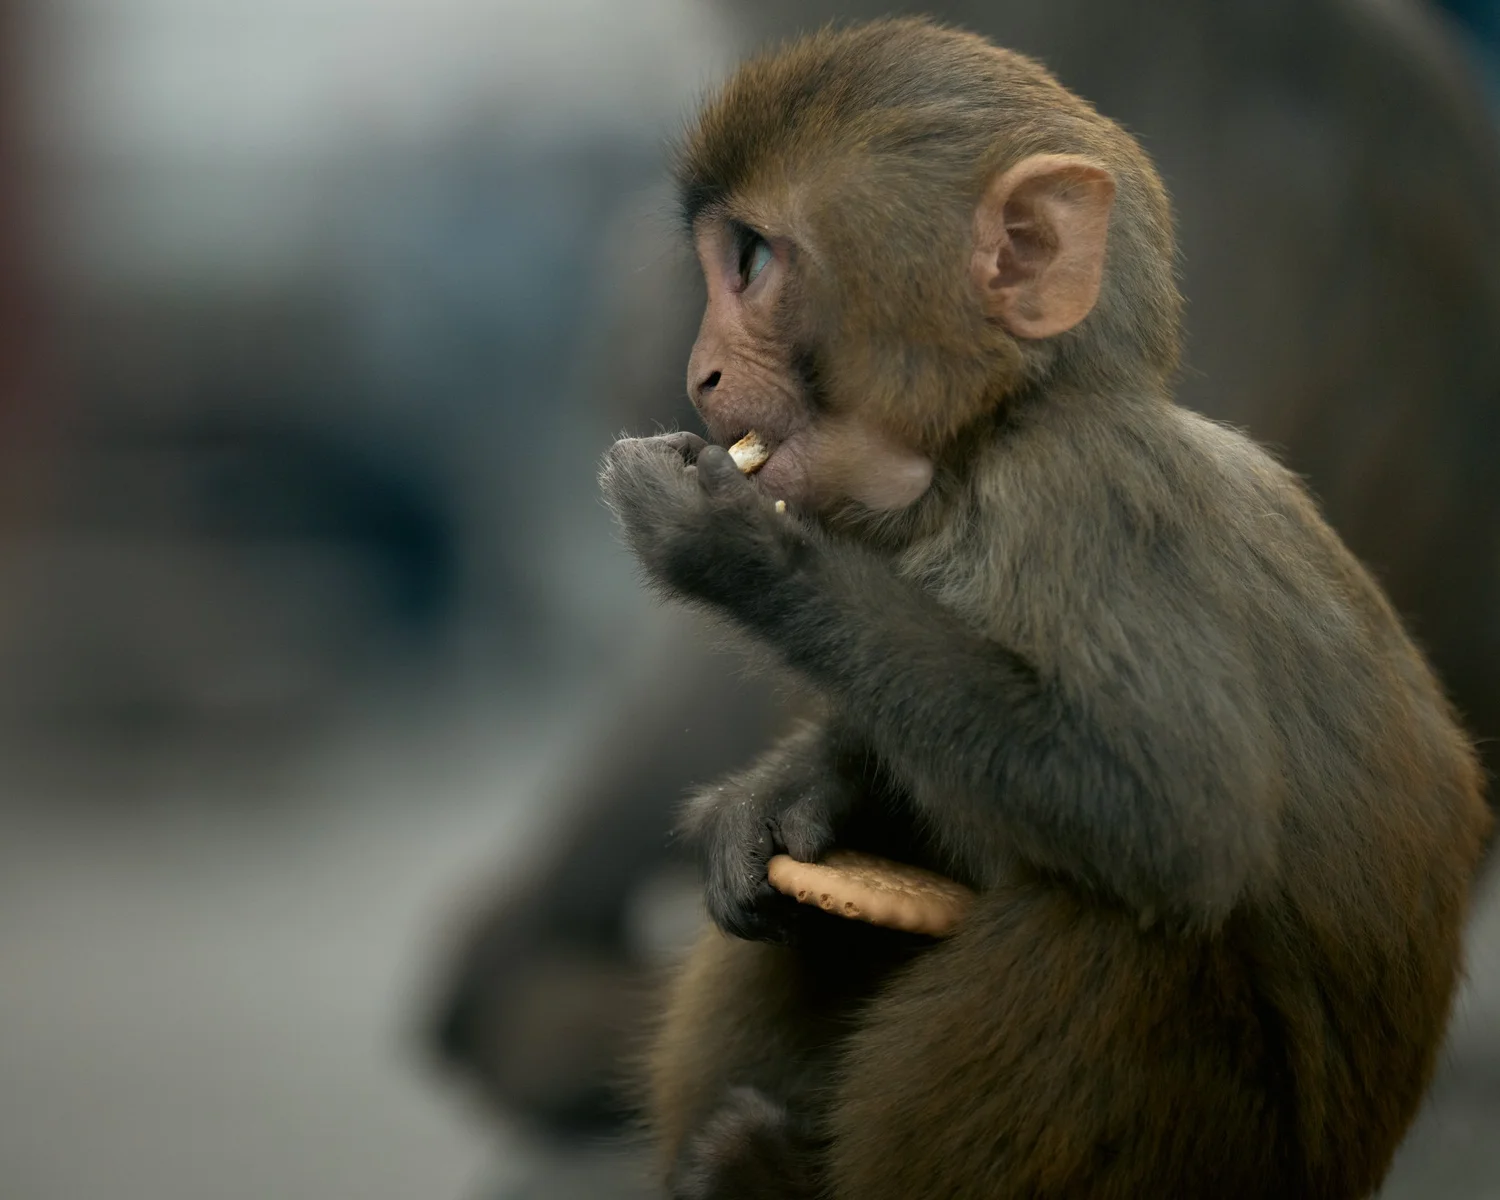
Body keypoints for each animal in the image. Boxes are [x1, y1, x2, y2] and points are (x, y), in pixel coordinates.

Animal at [596, 19, 1493, 1200]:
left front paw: (736, 548)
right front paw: (793, 792)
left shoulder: (1087, 498)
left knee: (1113, 924)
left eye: (749, 261)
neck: (987, 445)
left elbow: (1169, 803)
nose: (696, 373)